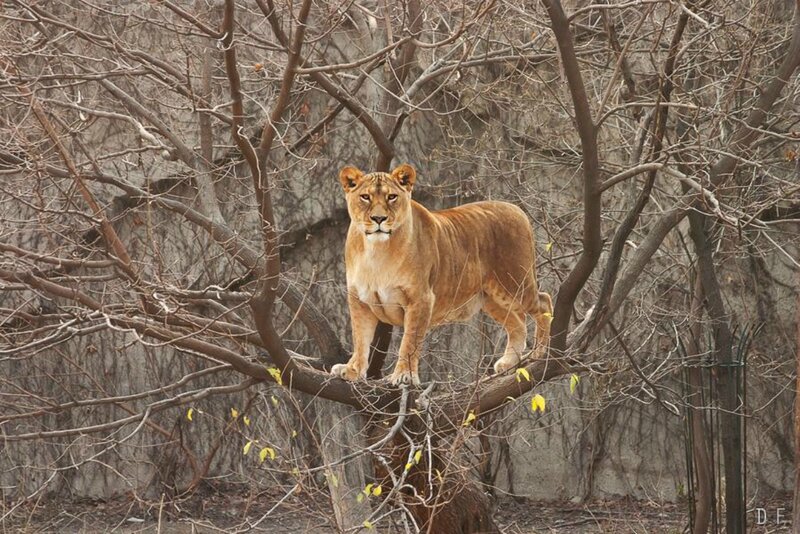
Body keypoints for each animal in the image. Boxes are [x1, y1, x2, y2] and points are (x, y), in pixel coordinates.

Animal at [330, 163, 553, 386]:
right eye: (365, 197)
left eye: (392, 197)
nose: (378, 219)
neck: (376, 251)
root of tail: (517, 209)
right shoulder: (359, 300)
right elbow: (360, 338)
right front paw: (351, 370)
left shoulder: (420, 299)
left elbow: (409, 340)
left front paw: (404, 375)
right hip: (491, 298)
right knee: (518, 324)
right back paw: (508, 363)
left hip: (514, 284)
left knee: (544, 301)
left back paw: (540, 352)